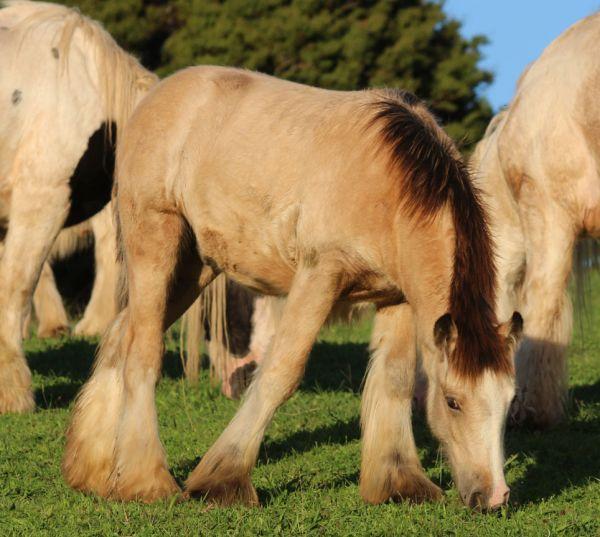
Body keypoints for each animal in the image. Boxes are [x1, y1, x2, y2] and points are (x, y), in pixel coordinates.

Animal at [61, 68, 520, 510]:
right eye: (453, 401)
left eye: (508, 400)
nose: (494, 497)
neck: (390, 183)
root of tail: (154, 98)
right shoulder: (320, 277)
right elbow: (281, 372)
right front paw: (223, 480)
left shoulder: (399, 298)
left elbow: (396, 380)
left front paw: (398, 483)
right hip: (155, 243)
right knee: (142, 352)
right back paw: (145, 480)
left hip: (194, 267)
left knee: (122, 335)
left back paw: (96, 471)